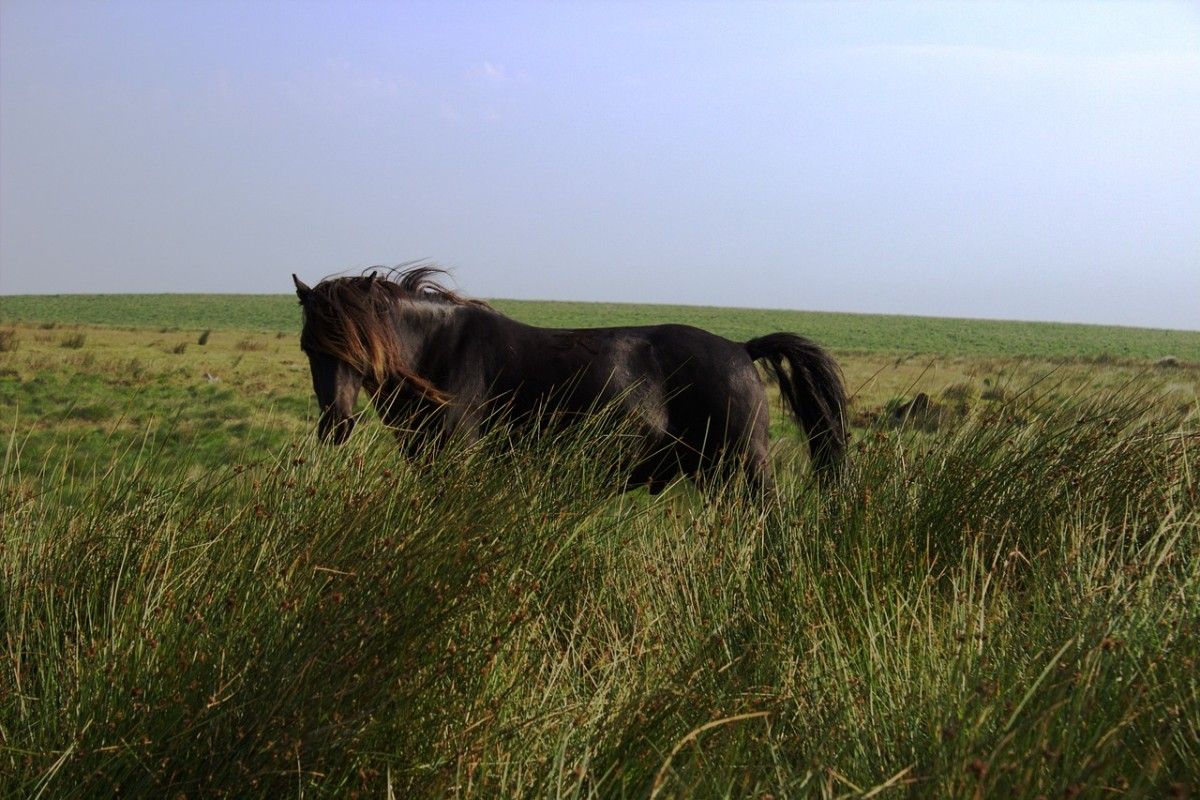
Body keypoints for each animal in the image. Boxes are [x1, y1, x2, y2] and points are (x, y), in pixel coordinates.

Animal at [295, 267, 849, 494]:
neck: (441, 352)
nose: (336, 424)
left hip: (745, 470)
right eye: (308, 349)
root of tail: (740, 349)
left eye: (359, 350)